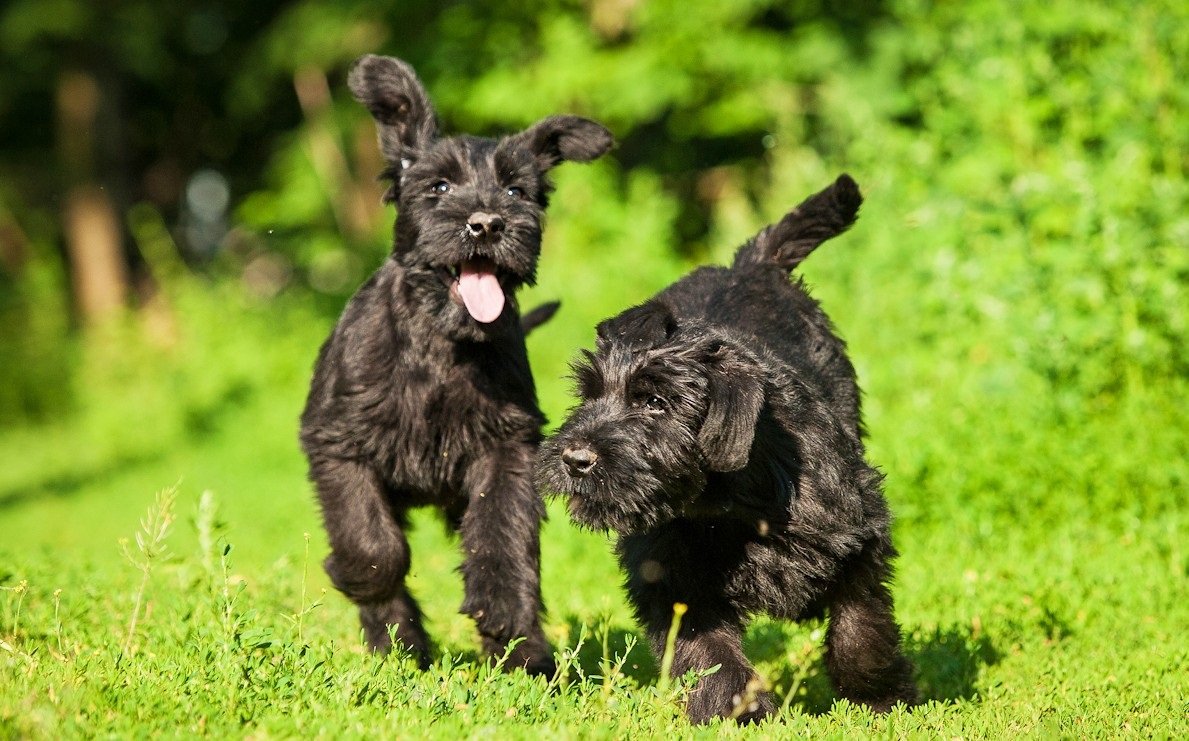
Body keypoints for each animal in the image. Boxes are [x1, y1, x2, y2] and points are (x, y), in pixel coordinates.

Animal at [299, 55, 613, 675]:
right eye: (439, 186)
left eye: (516, 189)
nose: (487, 223)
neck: (442, 345)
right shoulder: (338, 443)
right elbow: (372, 544)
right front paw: (363, 586)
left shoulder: (505, 446)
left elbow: (503, 535)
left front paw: (506, 618)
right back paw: (397, 648)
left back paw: (528, 660)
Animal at [539, 177, 917, 723]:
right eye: (588, 394)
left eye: (655, 402)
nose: (575, 459)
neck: (728, 502)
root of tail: (750, 264)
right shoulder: (675, 581)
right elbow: (710, 653)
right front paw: (739, 713)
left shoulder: (857, 539)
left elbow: (860, 628)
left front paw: (880, 700)